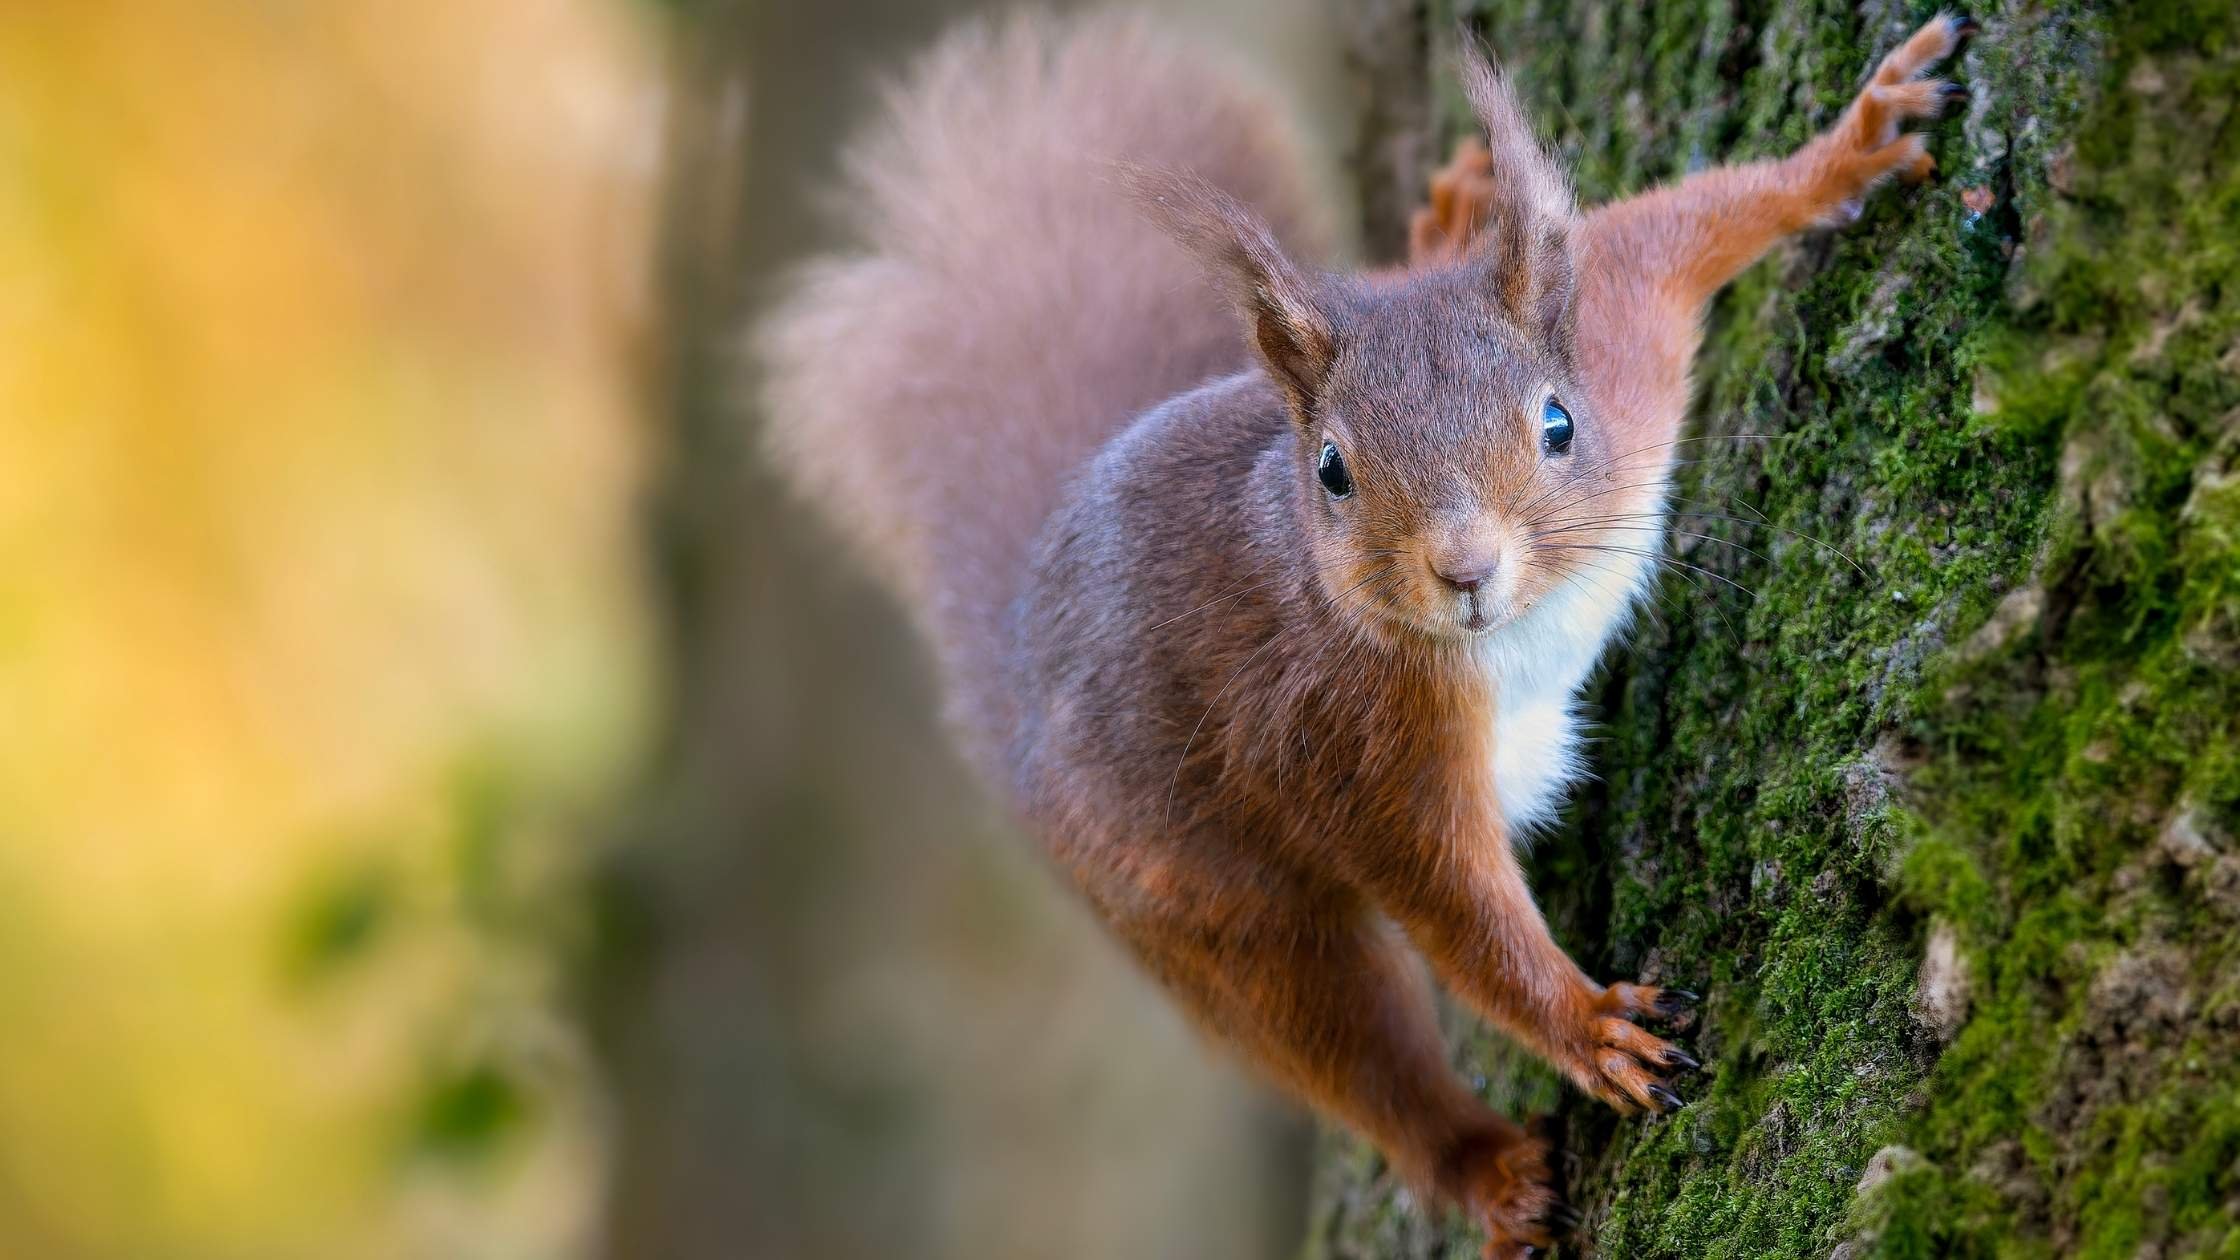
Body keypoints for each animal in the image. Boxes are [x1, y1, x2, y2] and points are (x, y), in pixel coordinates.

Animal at [761, 10, 1974, 1255]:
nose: (1465, 570)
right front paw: (1588, 1027)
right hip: (1201, 908)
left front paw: (1853, 142)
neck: (1520, 625)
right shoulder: (1350, 745)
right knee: (1350, 1051)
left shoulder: (1621, 336)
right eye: (1332, 472)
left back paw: (1436, 227)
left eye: (1557, 422)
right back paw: (1488, 1173)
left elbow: (1680, 221)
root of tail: (1014, 660)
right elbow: (1458, 913)